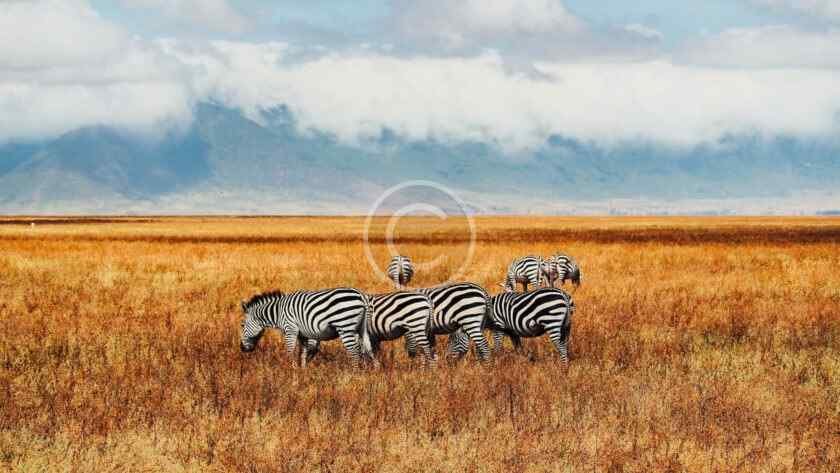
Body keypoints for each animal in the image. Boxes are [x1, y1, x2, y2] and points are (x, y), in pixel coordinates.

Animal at [239, 288, 369, 368]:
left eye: (242, 325)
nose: (242, 348)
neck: (278, 312)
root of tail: (362, 296)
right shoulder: (303, 334)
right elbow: (303, 353)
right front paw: (302, 370)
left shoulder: (290, 329)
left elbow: (290, 351)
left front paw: (290, 370)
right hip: (360, 329)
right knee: (363, 349)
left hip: (345, 326)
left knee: (354, 351)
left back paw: (352, 374)